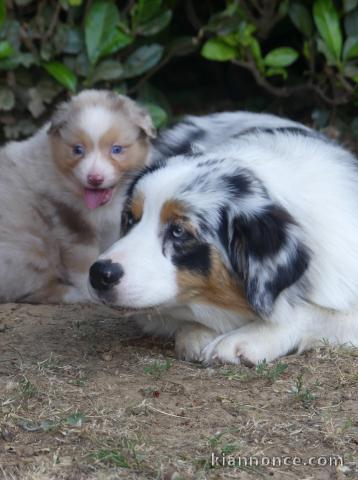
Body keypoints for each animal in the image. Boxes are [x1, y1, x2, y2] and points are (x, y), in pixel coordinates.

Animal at [1, 89, 155, 304]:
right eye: (77, 150)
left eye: (116, 149)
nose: (95, 178)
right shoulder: (70, 221)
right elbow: (84, 262)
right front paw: (89, 291)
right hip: (27, 250)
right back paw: (72, 294)